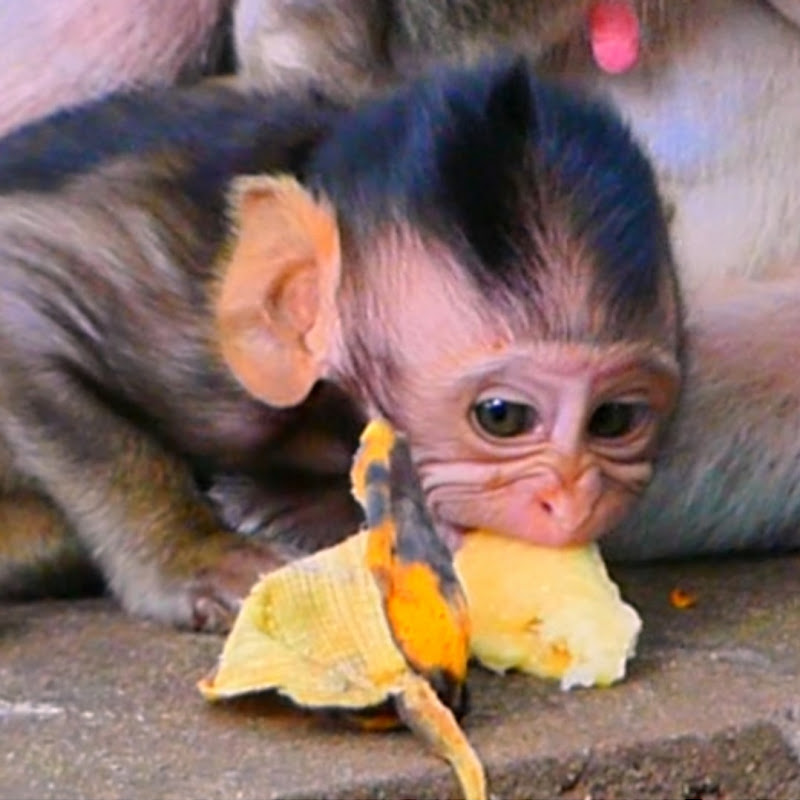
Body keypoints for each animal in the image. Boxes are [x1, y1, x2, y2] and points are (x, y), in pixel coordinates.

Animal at [0, 59, 681, 627]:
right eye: (502, 416)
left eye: (613, 419)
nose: (572, 501)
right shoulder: (195, 358)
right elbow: (22, 304)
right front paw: (191, 551)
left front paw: (286, 506)